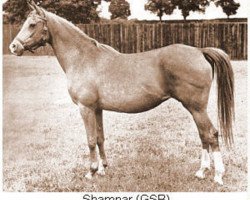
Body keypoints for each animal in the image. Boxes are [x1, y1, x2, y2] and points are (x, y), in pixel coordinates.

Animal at [9, 0, 234, 186]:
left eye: (32, 24)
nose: (13, 47)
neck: (83, 58)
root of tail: (199, 51)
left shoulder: (85, 108)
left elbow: (90, 140)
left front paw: (91, 172)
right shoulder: (97, 109)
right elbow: (100, 138)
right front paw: (102, 169)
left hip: (196, 108)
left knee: (211, 134)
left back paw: (217, 175)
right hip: (195, 109)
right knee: (203, 135)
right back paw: (202, 171)